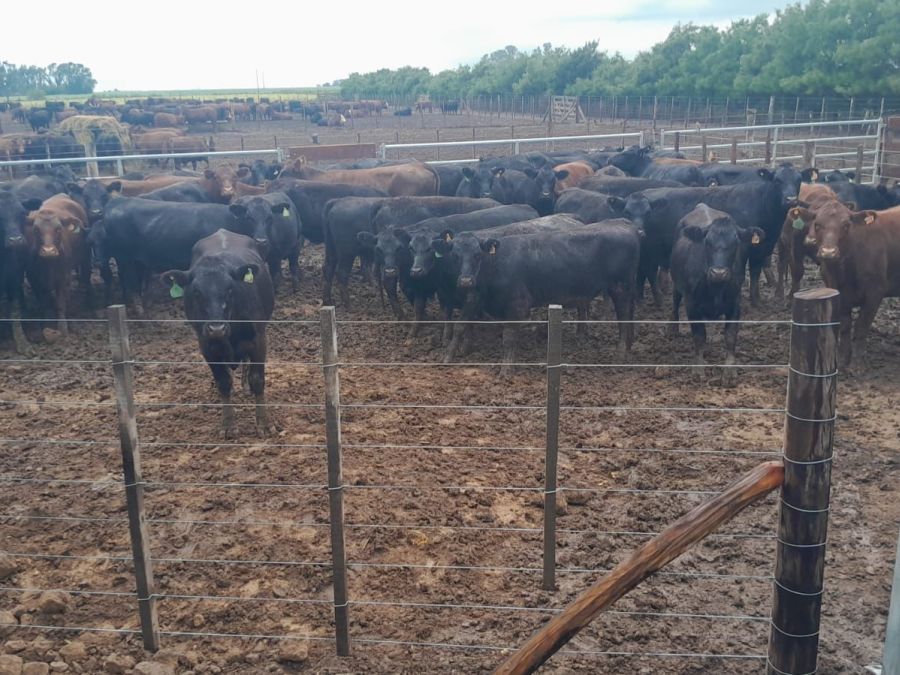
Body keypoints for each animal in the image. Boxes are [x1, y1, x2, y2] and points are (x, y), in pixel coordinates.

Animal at [24, 195, 91, 335]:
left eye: (58, 229)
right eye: (36, 229)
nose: (48, 251)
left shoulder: (63, 276)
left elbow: (61, 302)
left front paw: (62, 326)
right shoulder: (33, 278)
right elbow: (44, 302)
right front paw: (46, 324)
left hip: (86, 257)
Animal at [162, 230, 275, 438]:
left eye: (230, 289)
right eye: (196, 292)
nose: (216, 328)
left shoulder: (259, 341)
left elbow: (257, 380)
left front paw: (263, 423)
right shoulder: (207, 346)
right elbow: (223, 382)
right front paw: (228, 425)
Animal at [669, 205, 766, 386]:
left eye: (735, 243)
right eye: (707, 242)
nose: (718, 272)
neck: (716, 287)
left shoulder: (735, 304)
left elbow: (730, 336)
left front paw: (729, 373)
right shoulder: (691, 304)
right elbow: (699, 336)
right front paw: (698, 370)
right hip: (677, 284)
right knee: (675, 301)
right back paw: (673, 328)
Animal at [793, 201, 900, 370]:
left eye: (846, 226)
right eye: (817, 225)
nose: (828, 252)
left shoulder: (875, 293)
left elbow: (861, 327)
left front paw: (857, 364)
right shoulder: (838, 291)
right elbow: (845, 325)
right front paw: (843, 359)